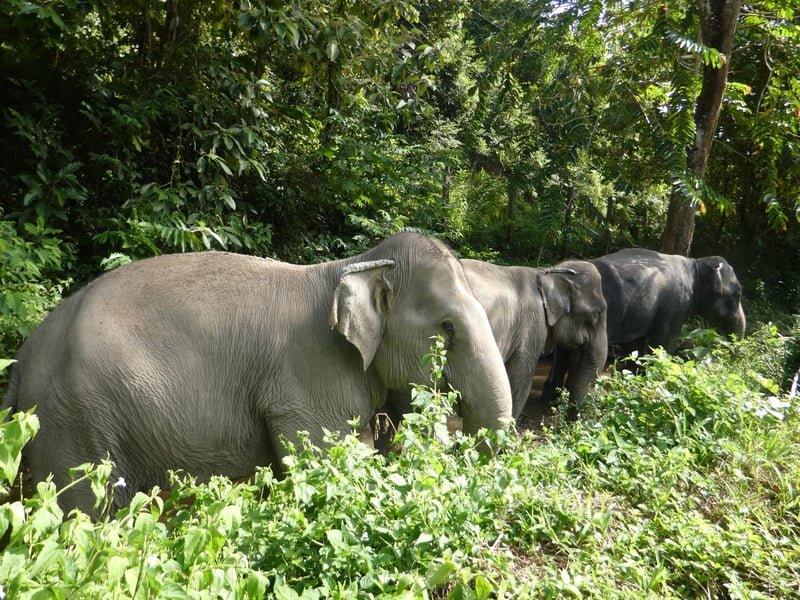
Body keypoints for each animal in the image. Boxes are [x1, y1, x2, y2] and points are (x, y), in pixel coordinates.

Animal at [1, 232, 512, 512]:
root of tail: (23, 358)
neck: (355, 263)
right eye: (447, 327)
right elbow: (323, 457)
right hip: (72, 420)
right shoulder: (310, 375)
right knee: (88, 512)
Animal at [540, 246, 748, 406]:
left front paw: (634, 379)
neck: (697, 264)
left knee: (562, 352)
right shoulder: (677, 305)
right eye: (736, 294)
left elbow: (638, 346)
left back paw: (550, 400)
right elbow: (663, 344)